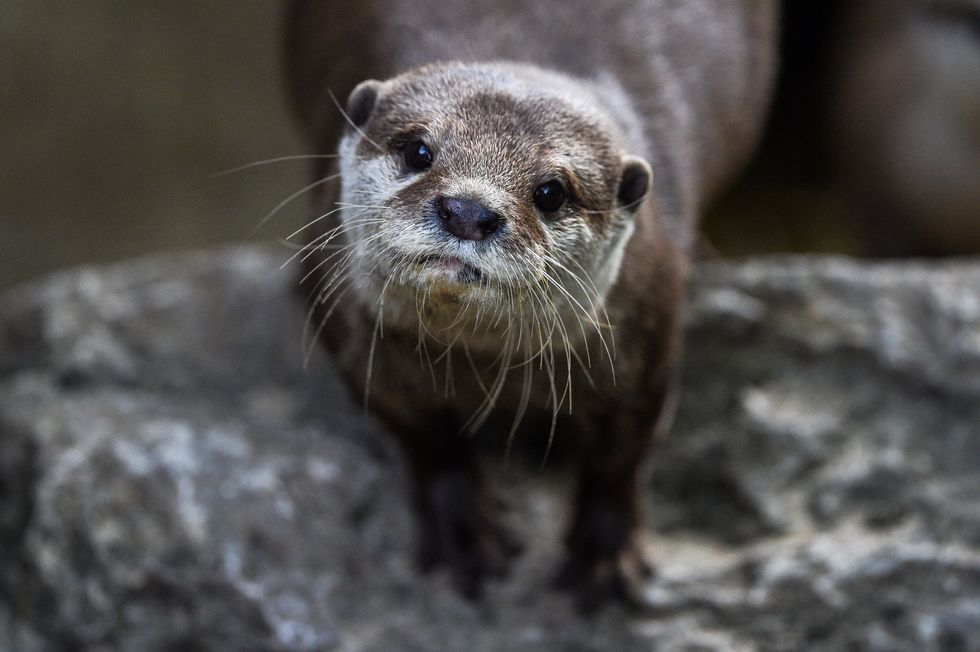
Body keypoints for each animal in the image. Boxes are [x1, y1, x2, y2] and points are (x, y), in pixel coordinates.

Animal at [286, 1, 780, 612]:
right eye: (418, 150)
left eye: (551, 192)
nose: (468, 211)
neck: (475, 369)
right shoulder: (352, 340)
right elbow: (424, 439)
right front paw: (463, 530)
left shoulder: (651, 337)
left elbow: (622, 458)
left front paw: (605, 555)